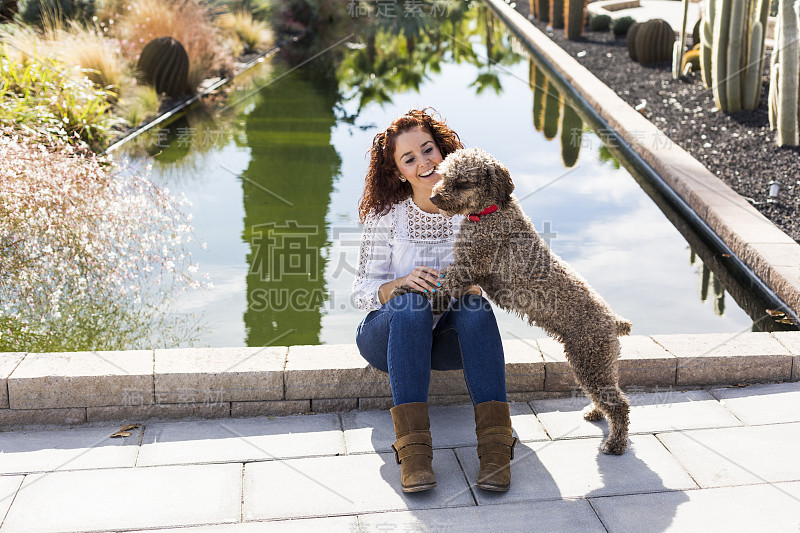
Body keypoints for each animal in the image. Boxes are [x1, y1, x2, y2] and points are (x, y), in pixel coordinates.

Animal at [392, 147, 632, 454]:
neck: (489, 214)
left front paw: (413, 296)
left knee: (619, 404)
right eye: (443, 175)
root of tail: (613, 320)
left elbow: (440, 291)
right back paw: (595, 413)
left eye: (462, 182)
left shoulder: (466, 267)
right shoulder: (463, 265)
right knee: (609, 396)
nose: (434, 198)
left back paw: (615, 443)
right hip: (600, 362)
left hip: (590, 360)